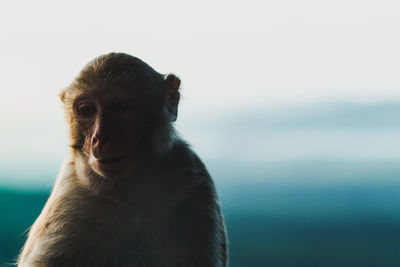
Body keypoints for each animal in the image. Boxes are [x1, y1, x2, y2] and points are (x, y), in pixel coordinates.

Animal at [18, 52, 228, 267]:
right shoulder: (69, 196)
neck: (130, 194)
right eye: (87, 110)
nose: (99, 137)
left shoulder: (195, 186)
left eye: (119, 106)